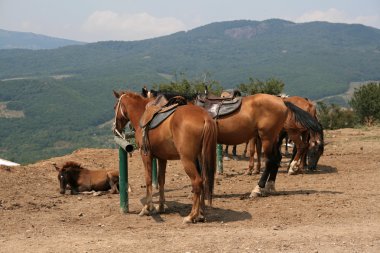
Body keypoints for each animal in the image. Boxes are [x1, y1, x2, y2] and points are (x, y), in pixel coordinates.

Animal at [112, 91, 217, 223]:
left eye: (115, 107)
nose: (115, 128)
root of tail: (204, 118)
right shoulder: (162, 158)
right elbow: (161, 180)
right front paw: (161, 207)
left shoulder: (146, 155)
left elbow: (148, 179)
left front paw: (147, 208)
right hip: (200, 158)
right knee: (204, 180)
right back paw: (201, 213)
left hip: (187, 160)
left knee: (197, 182)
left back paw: (191, 215)